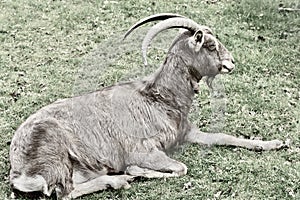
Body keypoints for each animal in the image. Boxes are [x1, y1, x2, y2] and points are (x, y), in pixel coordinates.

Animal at [9, 13, 284, 199]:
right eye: (210, 45)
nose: (231, 62)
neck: (157, 97)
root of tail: (19, 171)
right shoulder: (145, 151)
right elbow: (180, 168)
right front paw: (134, 170)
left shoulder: (186, 132)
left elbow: (224, 136)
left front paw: (275, 143)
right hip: (58, 157)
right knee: (64, 192)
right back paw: (121, 180)